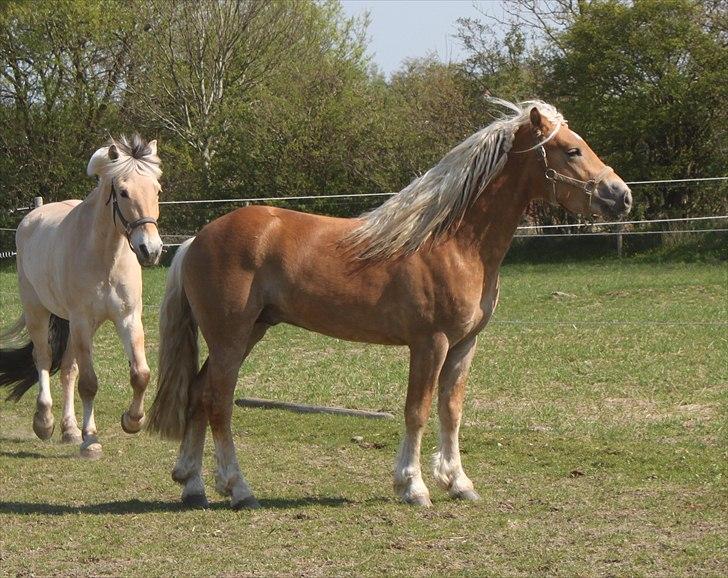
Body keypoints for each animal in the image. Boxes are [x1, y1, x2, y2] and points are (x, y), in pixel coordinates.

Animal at [0, 134, 162, 454]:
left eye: (157, 190)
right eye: (123, 192)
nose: (151, 250)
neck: (105, 257)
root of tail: (30, 219)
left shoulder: (128, 318)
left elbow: (140, 374)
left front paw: (131, 421)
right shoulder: (82, 321)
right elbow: (89, 383)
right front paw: (91, 442)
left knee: (67, 369)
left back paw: (70, 430)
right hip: (39, 312)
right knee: (44, 359)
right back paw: (45, 423)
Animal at [148, 101, 632, 506]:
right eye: (571, 150)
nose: (621, 195)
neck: (454, 242)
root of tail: (196, 240)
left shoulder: (464, 345)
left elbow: (451, 410)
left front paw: (458, 482)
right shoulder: (430, 343)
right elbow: (416, 411)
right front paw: (413, 486)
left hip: (249, 332)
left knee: (197, 393)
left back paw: (192, 484)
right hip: (230, 338)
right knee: (218, 401)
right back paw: (238, 487)